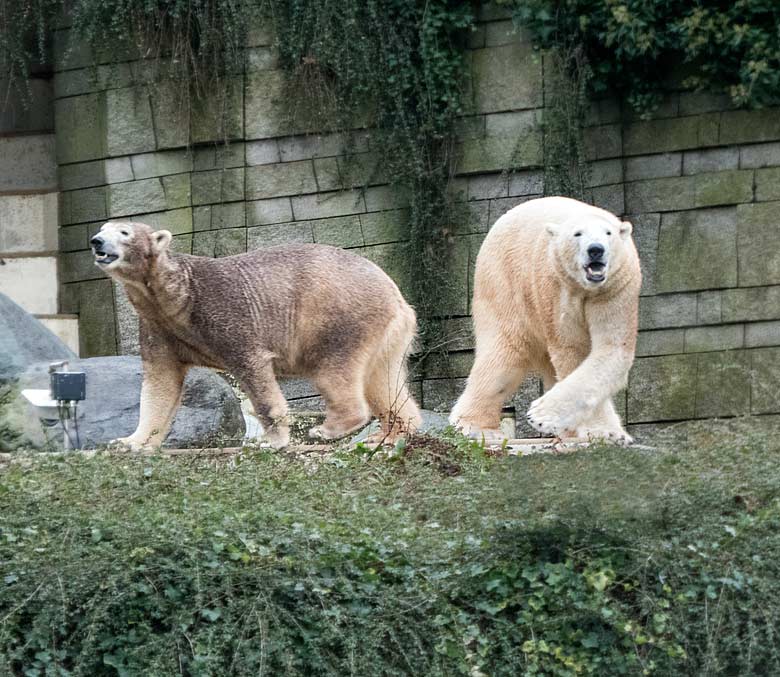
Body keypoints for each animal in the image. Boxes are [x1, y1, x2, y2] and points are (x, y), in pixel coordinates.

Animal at [90, 222, 420, 448]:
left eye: (124, 232)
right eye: (103, 228)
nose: (96, 241)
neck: (178, 297)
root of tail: (397, 297)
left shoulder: (223, 311)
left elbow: (254, 372)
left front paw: (272, 441)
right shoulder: (159, 326)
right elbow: (161, 383)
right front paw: (128, 442)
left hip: (338, 316)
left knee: (334, 369)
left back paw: (328, 428)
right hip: (386, 335)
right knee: (383, 381)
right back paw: (391, 433)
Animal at [448, 194, 644, 444]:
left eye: (608, 233)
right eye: (577, 234)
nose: (596, 250)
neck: (586, 288)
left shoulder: (615, 288)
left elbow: (611, 348)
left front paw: (608, 432)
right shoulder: (557, 289)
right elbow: (574, 351)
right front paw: (545, 416)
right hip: (504, 283)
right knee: (504, 356)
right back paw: (475, 426)